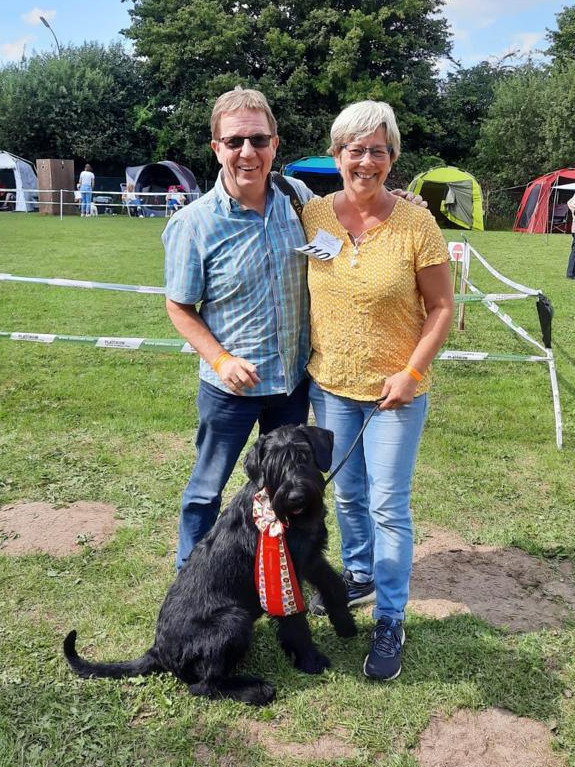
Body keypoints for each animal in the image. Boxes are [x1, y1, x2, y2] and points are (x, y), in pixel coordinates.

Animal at [65, 426, 358, 708]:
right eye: (273, 466)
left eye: (304, 456)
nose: (296, 496)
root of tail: (158, 651)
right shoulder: (286, 576)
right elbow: (295, 622)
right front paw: (311, 660)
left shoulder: (311, 558)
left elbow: (334, 585)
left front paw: (345, 624)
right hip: (232, 620)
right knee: (204, 686)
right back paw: (256, 690)